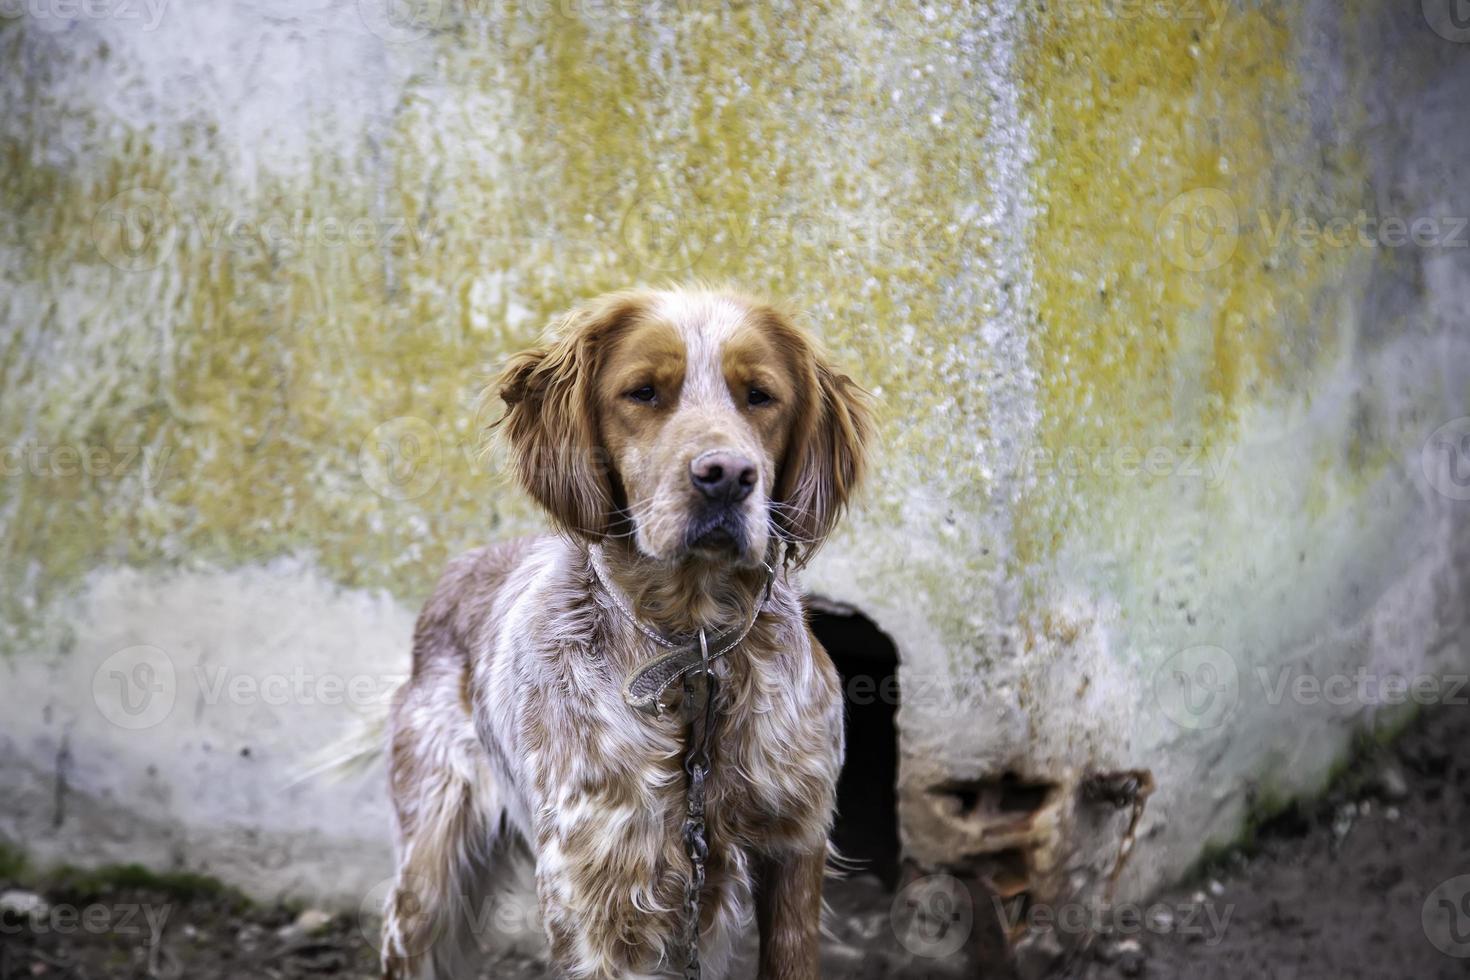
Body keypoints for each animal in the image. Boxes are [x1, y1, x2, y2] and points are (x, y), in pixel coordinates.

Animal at [379, 287, 870, 980]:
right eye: (642, 392)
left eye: (760, 396)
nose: (727, 474)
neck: (694, 653)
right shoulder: (597, 896)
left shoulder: (795, 845)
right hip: (426, 876)